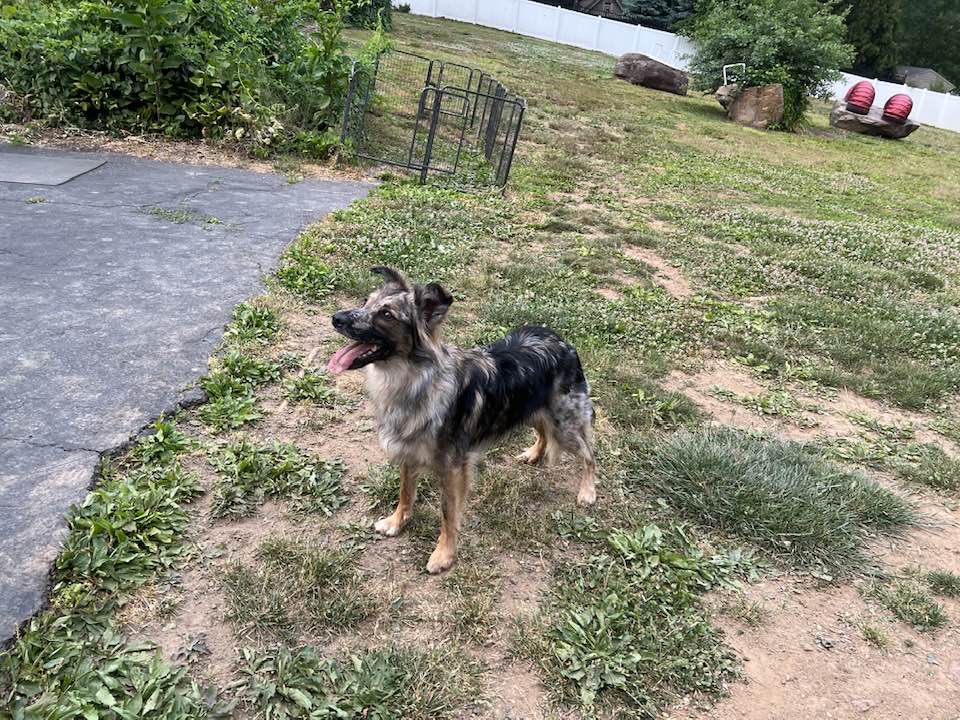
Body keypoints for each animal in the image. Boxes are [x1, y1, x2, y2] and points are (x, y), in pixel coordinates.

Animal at [332, 268, 600, 572]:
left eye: (386, 314)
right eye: (365, 301)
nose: (337, 318)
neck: (413, 380)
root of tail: (562, 341)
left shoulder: (453, 468)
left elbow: (448, 513)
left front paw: (444, 555)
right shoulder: (409, 452)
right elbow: (405, 492)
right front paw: (396, 522)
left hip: (565, 423)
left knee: (589, 453)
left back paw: (588, 491)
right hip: (529, 408)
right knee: (543, 432)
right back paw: (534, 453)